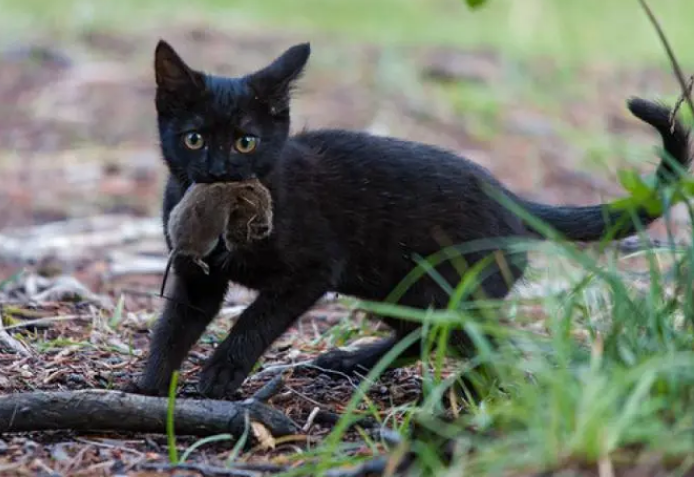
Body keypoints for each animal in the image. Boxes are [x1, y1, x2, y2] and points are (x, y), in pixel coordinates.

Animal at [133, 40, 692, 398]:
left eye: (246, 141)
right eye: (194, 138)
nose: (218, 170)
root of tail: (511, 198)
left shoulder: (313, 270)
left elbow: (255, 319)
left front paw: (221, 373)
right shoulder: (197, 276)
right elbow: (174, 325)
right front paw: (149, 387)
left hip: (451, 290)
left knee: (487, 346)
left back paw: (462, 394)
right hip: (398, 285)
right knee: (423, 334)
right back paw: (351, 362)